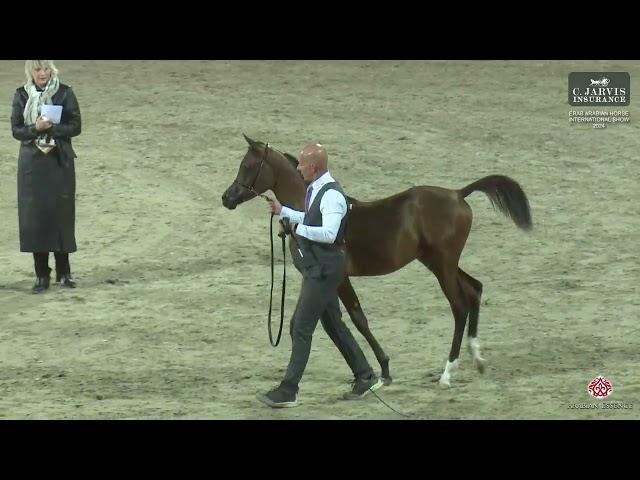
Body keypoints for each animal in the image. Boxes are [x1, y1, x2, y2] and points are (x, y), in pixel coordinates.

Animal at [222, 134, 532, 386]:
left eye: (248, 166)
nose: (227, 198)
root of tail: (458, 194)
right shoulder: (319, 281)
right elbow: (323, 322)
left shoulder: (340, 278)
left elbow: (357, 319)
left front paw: (383, 370)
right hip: (439, 262)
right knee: (475, 289)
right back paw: (477, 359)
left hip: (442, 265)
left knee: (460, 306)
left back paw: (447, 373)